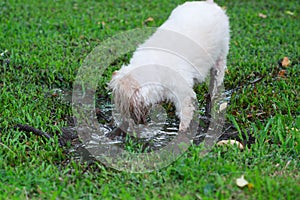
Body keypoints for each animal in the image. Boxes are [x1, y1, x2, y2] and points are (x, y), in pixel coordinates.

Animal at [110, 0, 230, 131]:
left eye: (127, 108)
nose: (125, 127)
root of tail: (207, 3)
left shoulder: (184, 94)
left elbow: (185, 117)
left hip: (221, 53)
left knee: (216, 78)